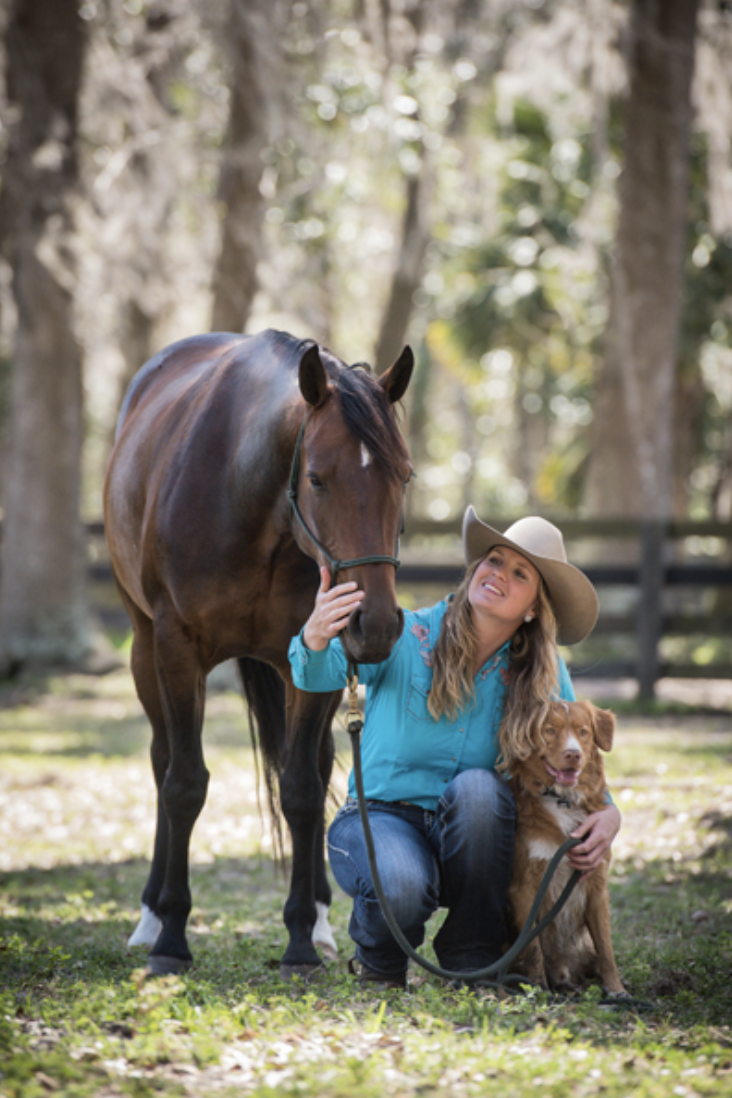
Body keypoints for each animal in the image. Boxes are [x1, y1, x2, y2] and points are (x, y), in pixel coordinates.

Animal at [103, 327, 414, 979]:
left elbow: (300, 789)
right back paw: (149, 917)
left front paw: (299, 940)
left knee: (318, 765)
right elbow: (184, 784)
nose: (374, 624)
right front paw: (172, 937)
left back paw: (319, 921)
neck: (246, 496)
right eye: (317, 478)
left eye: (405, 476)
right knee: (161, 761)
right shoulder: (176, 650)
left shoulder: (314, 663)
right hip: (144, 651)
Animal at [507, 702, 627, 996]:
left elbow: (606, 948)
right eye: (549, 730)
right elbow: (533, 948)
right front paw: (538, 990)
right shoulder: (525, 888)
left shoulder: (596, 884)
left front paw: (616, 990)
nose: (573, 754)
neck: (563, 799)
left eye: (583, 732)